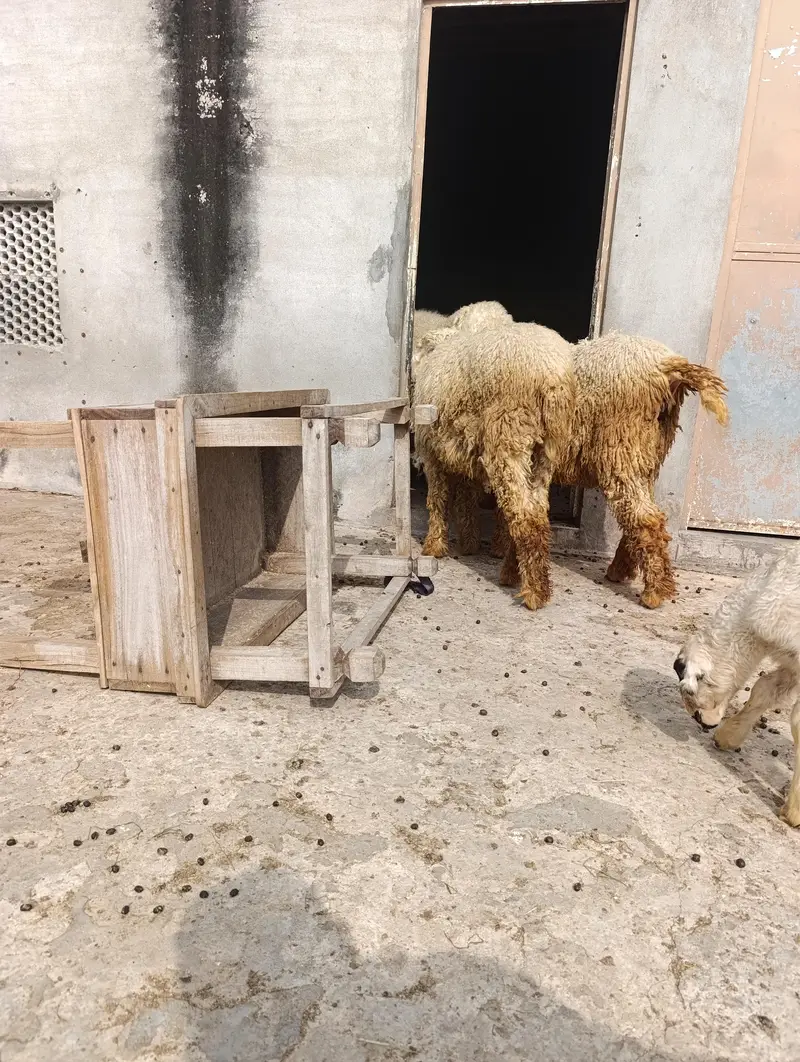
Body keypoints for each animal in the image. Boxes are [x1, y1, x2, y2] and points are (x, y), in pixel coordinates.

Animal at [413, 313, 576, 609]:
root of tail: (553, 375)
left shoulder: (431, 453)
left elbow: (438, 499)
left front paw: (434, 546)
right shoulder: (463, 452)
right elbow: (466, 499)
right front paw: (468, 542)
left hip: (508, 437)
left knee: (524, 516)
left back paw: (534, 592)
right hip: (545, 453)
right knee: (536, 513)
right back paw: (513, 572)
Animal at [455, 331, 729, 609]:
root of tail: (667, 365)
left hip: (620, 447)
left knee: (645, 518)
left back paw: (654, 592)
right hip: (647, 455)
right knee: (645, 515)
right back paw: (622, 571)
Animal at [673, 542, 800, 825]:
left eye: (691, 694)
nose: (700, 720)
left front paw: (794, 810)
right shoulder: (793, 662)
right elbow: (764, 688)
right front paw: (728, 736)